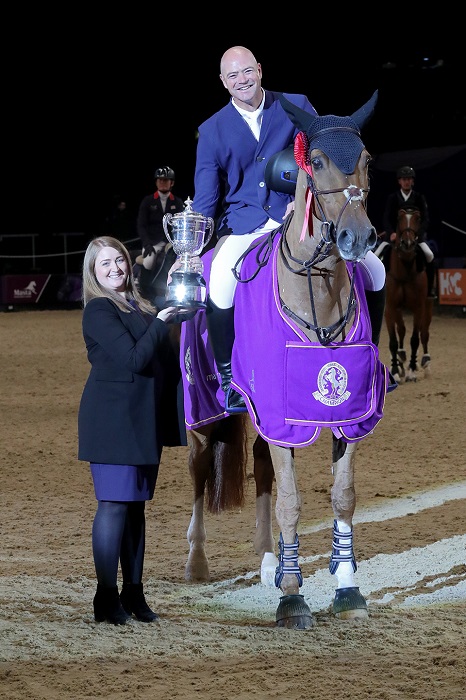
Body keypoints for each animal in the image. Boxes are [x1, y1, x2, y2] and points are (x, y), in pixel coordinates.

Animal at [179, 90, 394, 632]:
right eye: (314, 162)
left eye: (366, 160)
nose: (358, 239)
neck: (317, 284)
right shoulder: (280, 413)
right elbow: (293, 503)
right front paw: (293, 599)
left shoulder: (347, 414)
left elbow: (342, 497)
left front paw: (346, 588)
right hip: (202, 411)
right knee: (198, 471)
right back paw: (197, 562)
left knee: (261, 468)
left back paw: (267, 561)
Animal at [382, 206, 434, 382]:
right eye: (399, 219)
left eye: (418, 219)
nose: (408, 243)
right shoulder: (390, 307)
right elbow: (393, 341)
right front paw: (396, 371)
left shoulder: (418, 307)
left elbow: (415, 339)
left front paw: (411, 370)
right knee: (402, 330)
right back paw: (401, 359)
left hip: (427, 306)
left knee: (424, 333)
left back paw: (425, 362)